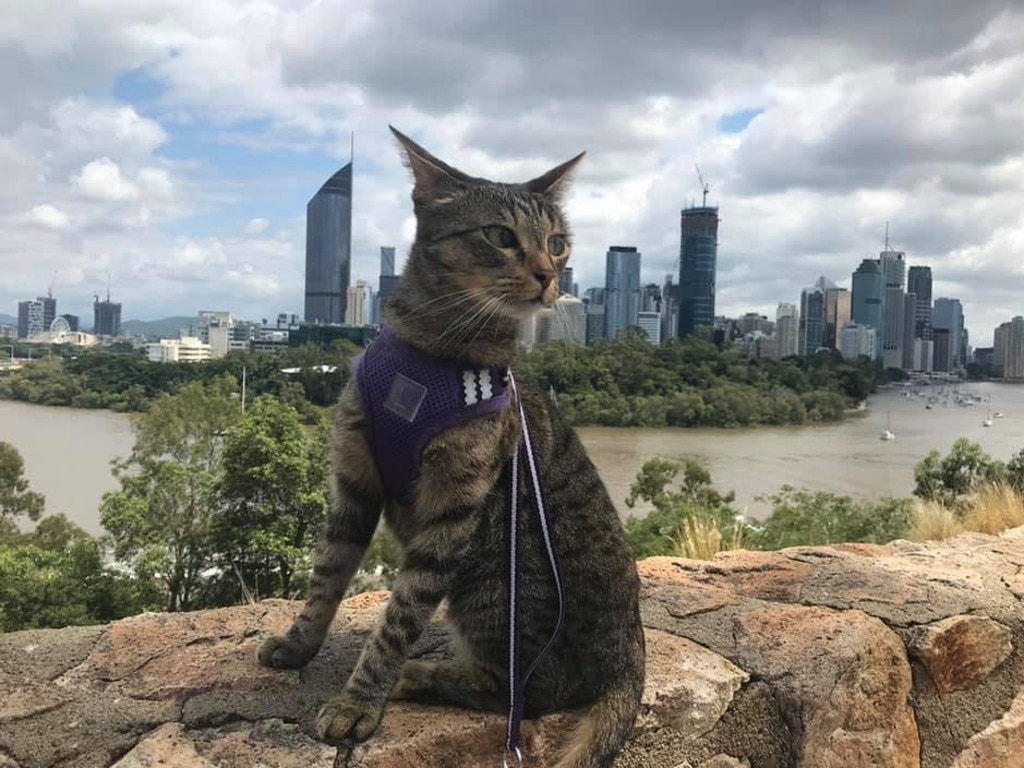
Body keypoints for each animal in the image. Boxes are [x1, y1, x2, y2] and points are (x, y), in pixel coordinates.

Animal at [260, 128, 643, 768]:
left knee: (521, 695)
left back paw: (420, 675)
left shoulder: (452, 512)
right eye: (500, 236)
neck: (430, 353)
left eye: (557, 243)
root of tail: (629, 661)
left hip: (493, 584)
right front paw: (298, 645)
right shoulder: (354, 483)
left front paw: (359, 700)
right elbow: (326, 577)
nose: (550, 275)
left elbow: (399, 616)